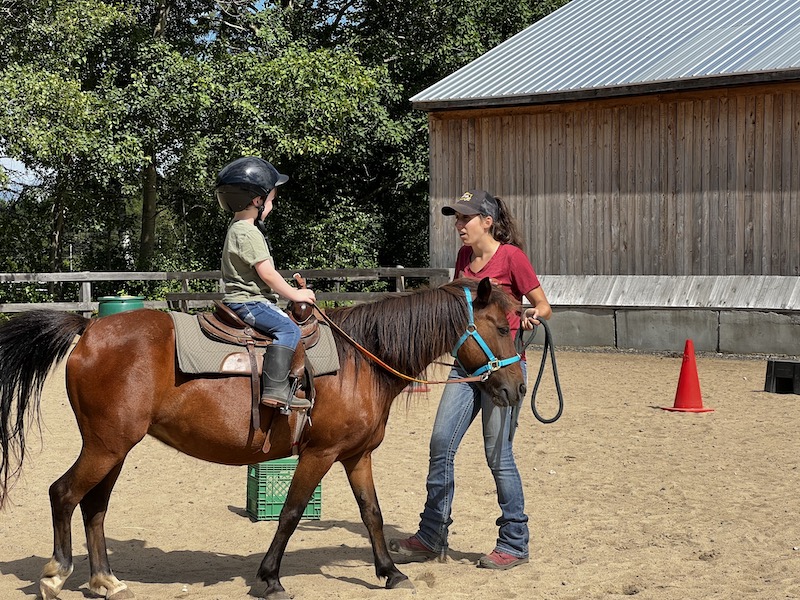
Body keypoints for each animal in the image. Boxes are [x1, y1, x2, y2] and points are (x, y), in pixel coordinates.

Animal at [0, 276, 524, 600]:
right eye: (502, 327)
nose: (517, 389)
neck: (360, 362)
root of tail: (89, 328)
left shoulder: (357, 456)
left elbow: (372, 513)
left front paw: (391, 572)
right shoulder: (319, 454)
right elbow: (291, 513)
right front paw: (270, 578)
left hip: (116, 449)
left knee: (94, 505)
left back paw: (106, 581)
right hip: (105, 446)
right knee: (64, 493)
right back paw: (57, 575)